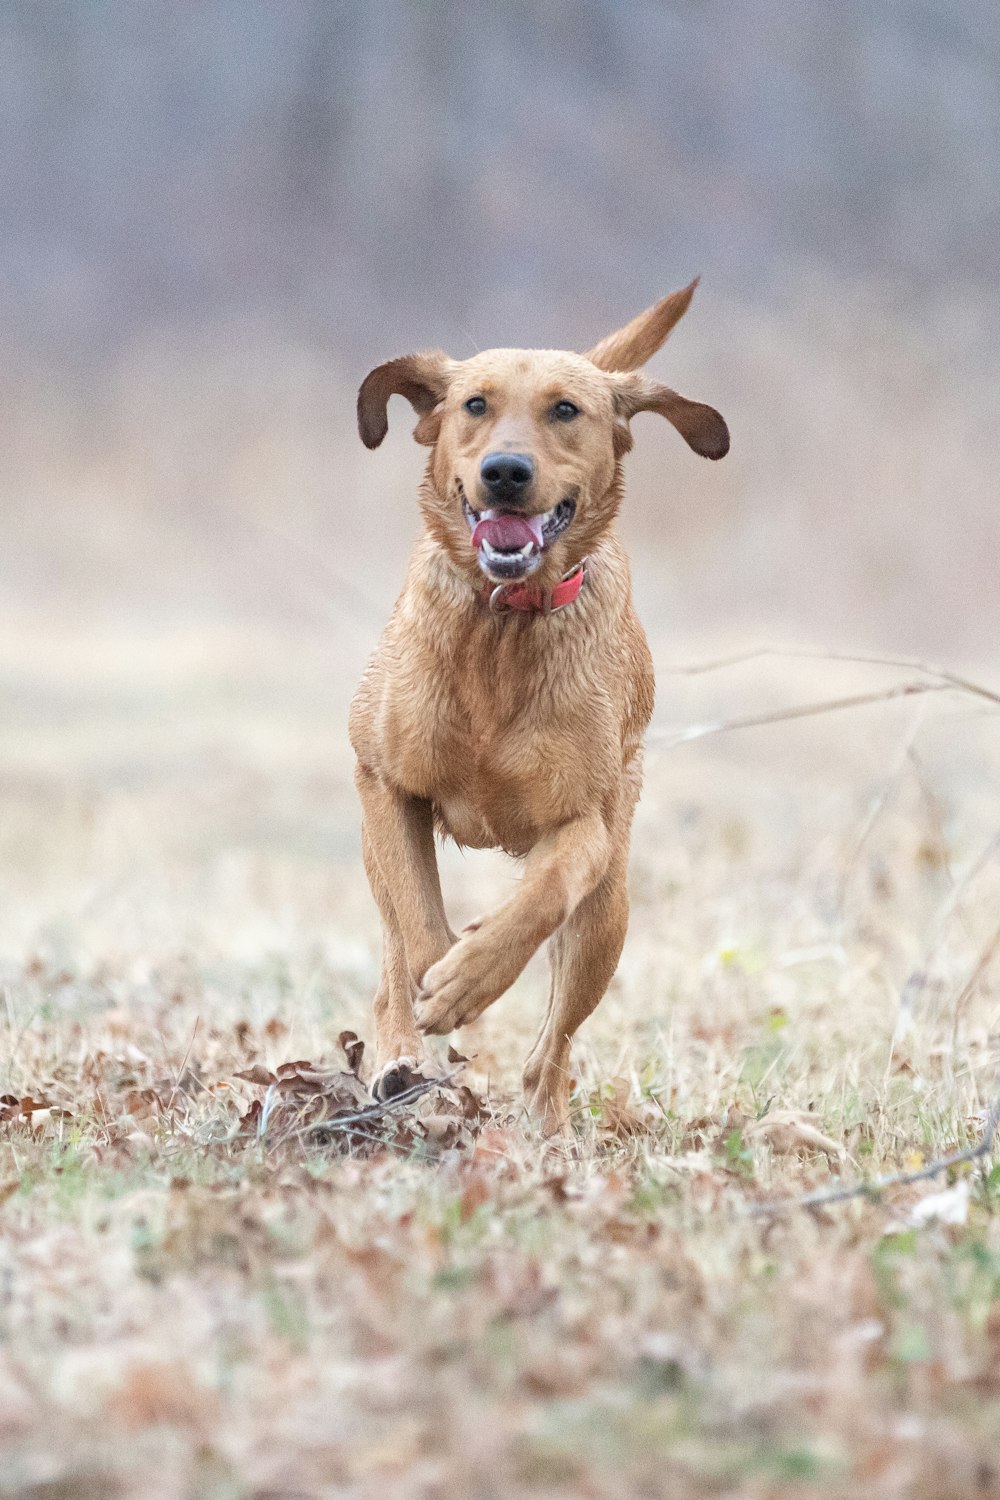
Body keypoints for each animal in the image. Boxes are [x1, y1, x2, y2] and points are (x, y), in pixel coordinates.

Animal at [352, 276, 728, 1128]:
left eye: (566, 409)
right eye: (474, 405)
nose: (506, 471)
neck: (501, 625)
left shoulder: (583, 823)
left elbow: (541, 896)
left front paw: (471, 975)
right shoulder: (384, 784)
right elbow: (414, 927)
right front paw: (440, 987)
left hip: (609, 913)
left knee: (551, 1050)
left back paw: (542, 1122)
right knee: (390, 954)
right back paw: (396, 1061)